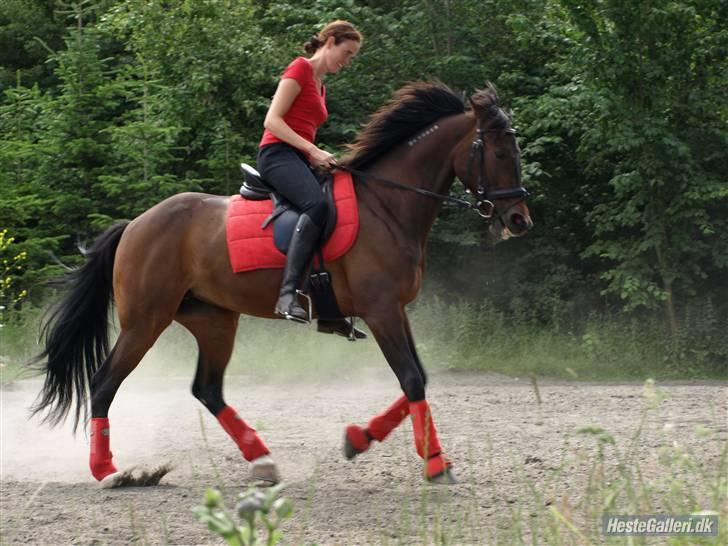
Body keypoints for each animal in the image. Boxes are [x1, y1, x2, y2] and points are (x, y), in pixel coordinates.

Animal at [32, 81, 536, 484]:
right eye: (498, 153)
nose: (520, 220)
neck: (387, 207)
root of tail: (135, 225)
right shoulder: (381, 311)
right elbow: (411, 379)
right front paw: (434, 464)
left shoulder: (394, 310)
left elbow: (419, 379)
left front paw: (358, 438)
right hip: (145, 322)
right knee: (104, 384)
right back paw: (109, 471)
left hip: (214, 320)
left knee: (207, 389)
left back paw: (262, 460)